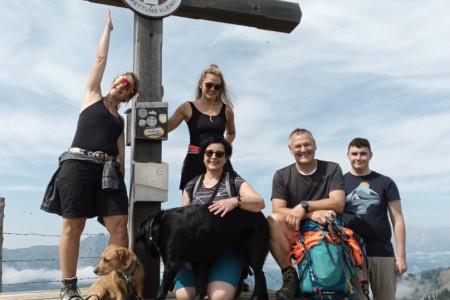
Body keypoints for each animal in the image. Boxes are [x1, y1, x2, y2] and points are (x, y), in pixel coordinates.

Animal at [134, 204, 268, 300]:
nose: (149, 254)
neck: (160, 225)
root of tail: (262, 216)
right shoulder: (199, 263)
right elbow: (200, 288)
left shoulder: (172, 265)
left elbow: (162, 291)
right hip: (243, 253)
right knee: (262, 276)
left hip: (254, 252)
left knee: (259, 275)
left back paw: (255, 297)